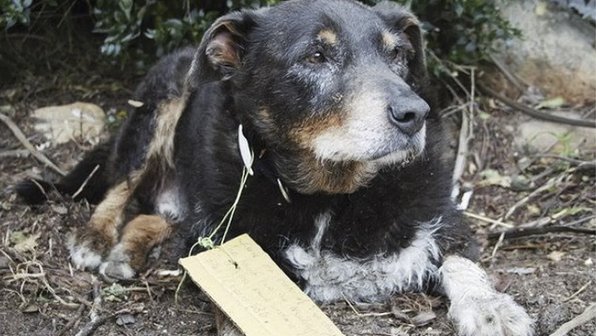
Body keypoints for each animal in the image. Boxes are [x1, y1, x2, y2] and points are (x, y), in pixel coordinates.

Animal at [16, 1, 532, 334]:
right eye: (316, 56)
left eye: (398, 55)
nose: (414, 113)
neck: (331, 195)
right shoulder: (226, 243)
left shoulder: (447, 219)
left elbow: (465, 264)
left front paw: (492, 308)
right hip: (158, 108)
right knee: (119, 188)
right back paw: (96, 238)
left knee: (158, 217)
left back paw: (128, 249)